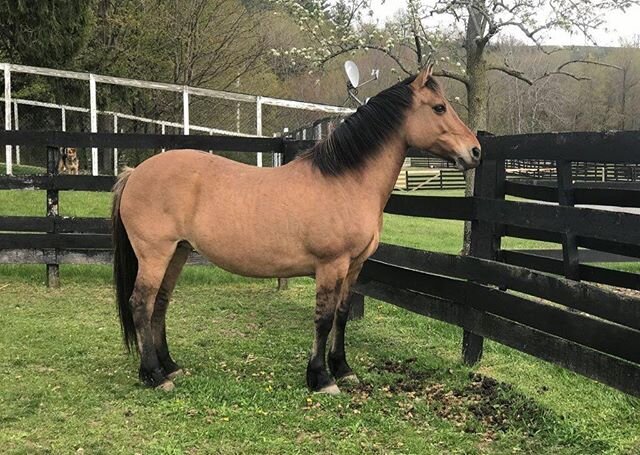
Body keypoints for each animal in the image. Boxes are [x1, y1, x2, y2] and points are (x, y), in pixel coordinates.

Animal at [112, 62, 480, 394]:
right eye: (439, 107)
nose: (475, 151)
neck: (346, 182)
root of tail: (134, 173)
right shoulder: (331, 266)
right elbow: (323, 318)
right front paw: (321, 378)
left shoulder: (354, 267)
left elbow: (342, 315)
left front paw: (343, 369)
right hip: (155, 254)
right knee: (141, 304)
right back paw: (154, 375)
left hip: (178, 251)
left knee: (160, 303)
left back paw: (170, 366)